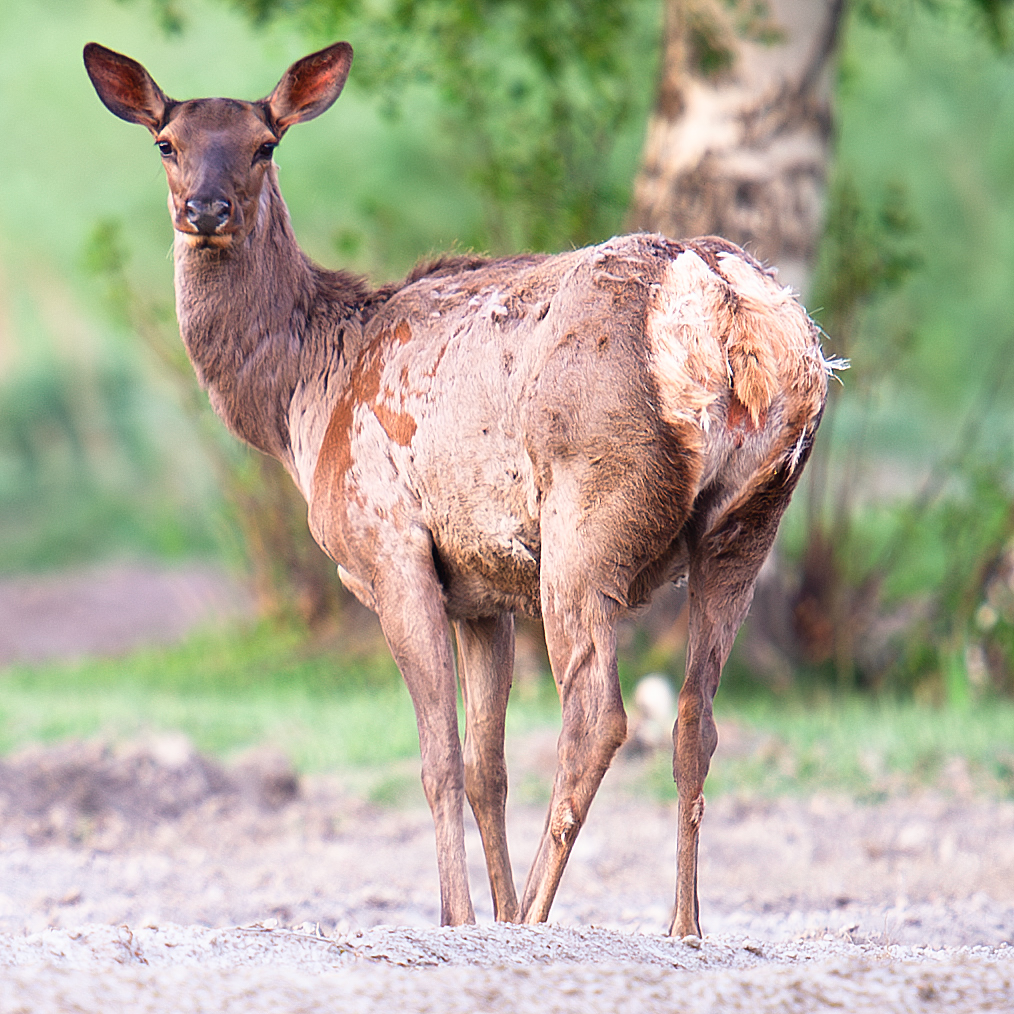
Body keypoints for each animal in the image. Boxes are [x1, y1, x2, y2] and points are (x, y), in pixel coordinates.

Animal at [85, 41, 831, 940]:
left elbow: (438, 757)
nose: (205, 208)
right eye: (167, 142)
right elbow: (486, 768)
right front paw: (492, 911)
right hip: (752, 519)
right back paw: (682, 926)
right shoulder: (482, 587)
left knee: (598, 715)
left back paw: (541, 914)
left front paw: (463, 917)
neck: (304, 397)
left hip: (589, 509)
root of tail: (723, 302)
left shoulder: (389, 543)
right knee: (696, 719)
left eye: (265, 145)